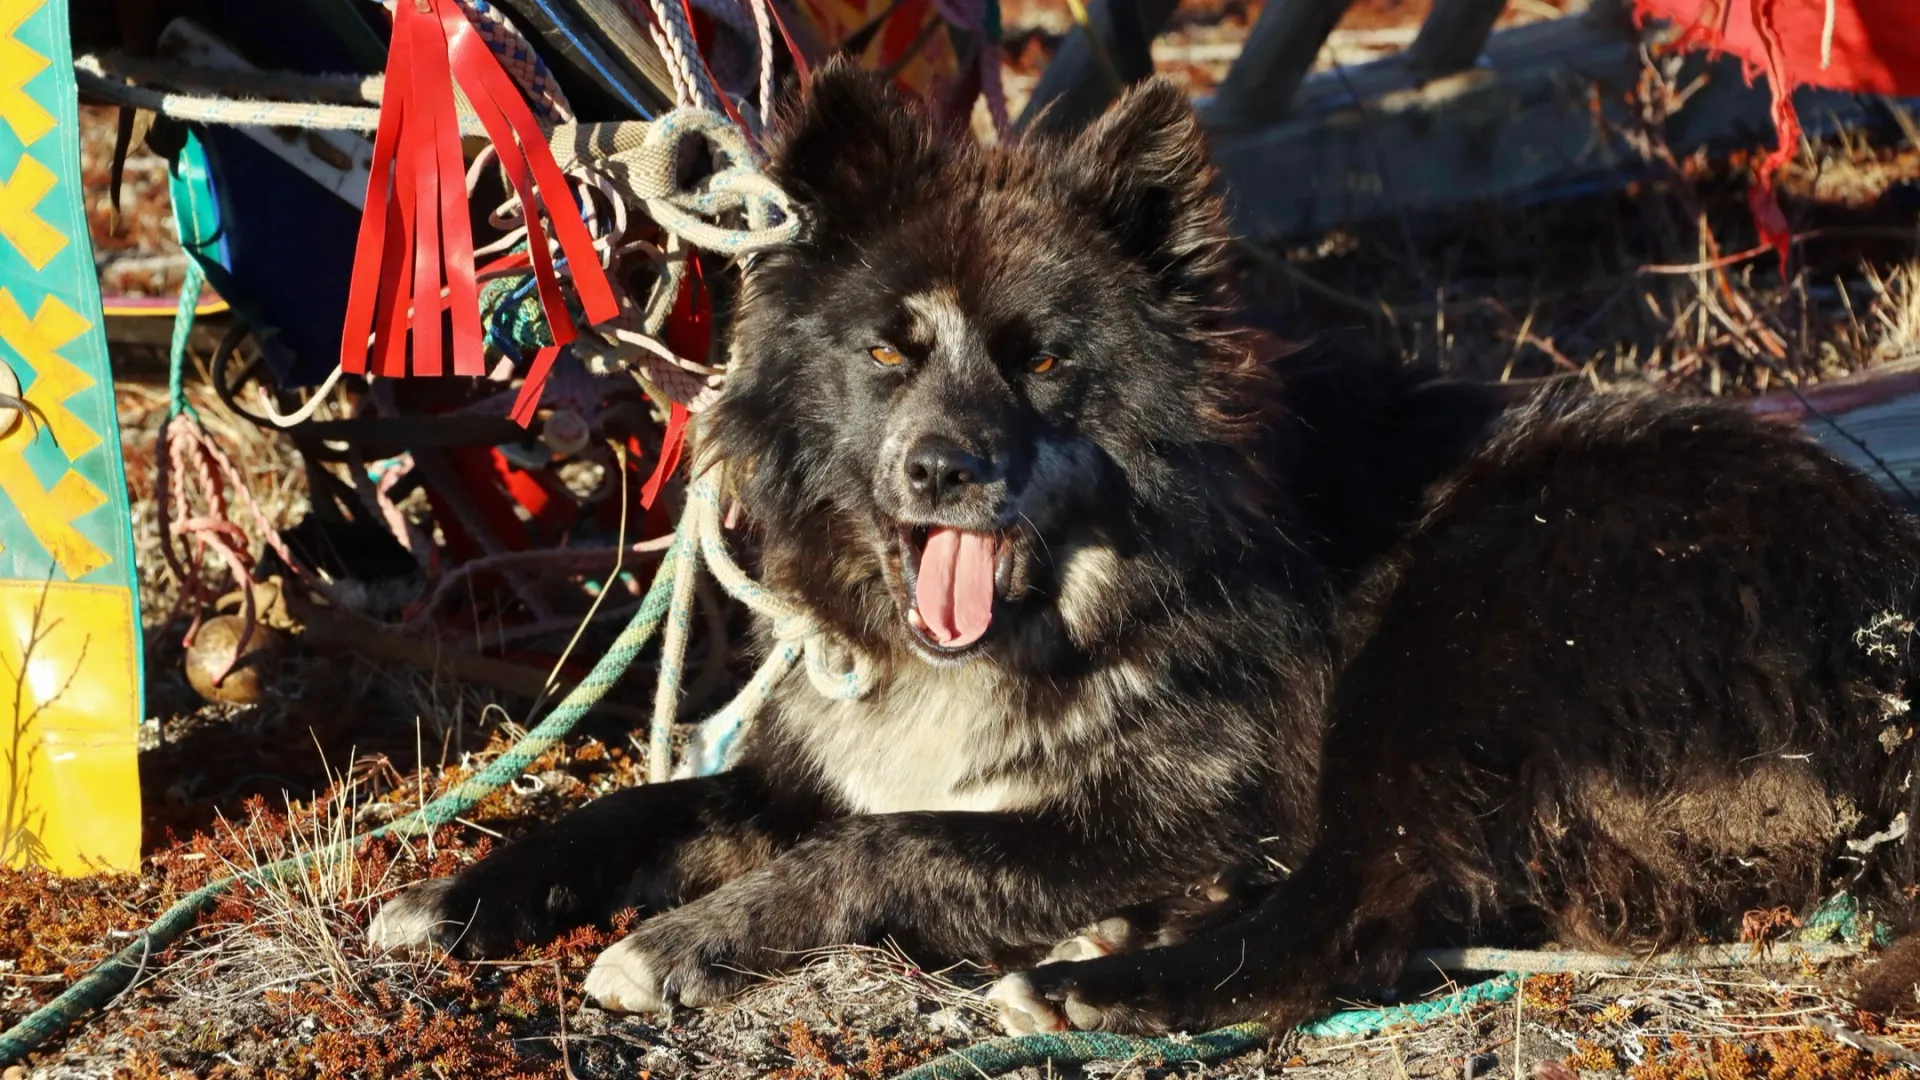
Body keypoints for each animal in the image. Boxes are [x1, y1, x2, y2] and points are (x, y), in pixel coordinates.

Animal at [366, 56, 1920, 1022]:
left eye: (1044, 362)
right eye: (887, 351)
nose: (940, 470)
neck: (1069, 604)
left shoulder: (1198, 804)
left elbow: (888, 848)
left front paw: (682, 942)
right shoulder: (818, 770)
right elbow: (646, 806)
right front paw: (455, 898)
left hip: (1463, 622)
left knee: (1353, 911)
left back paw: (1091, 984)